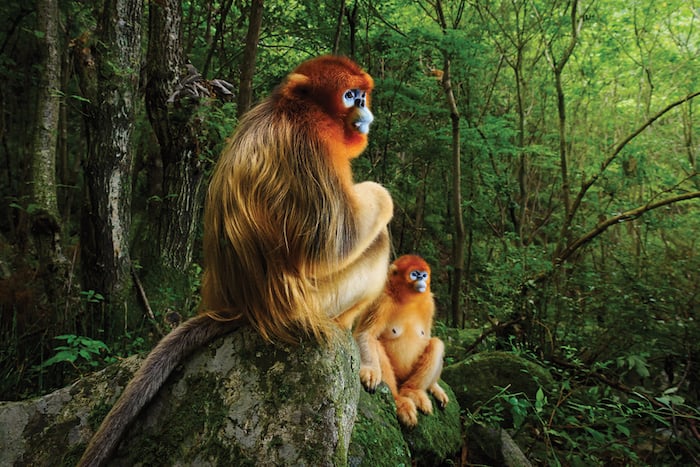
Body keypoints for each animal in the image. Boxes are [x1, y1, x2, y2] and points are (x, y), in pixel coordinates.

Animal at [78, 55, 393, 467]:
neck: (291, 110)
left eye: (362, 94)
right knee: (377, 240)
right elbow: (334, 242)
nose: (363, 108)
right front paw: (380, 194)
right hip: (315, 300)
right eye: (349, 96)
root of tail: (239, 308)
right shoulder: (310, 146)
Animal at [354, 255, 449, 427]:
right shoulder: (382, 300)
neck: (408, 300)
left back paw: (413, 391)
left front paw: (435, 387)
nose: (421, 279)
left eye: (424, 274)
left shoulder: (429, 303)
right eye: (414, 274)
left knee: (436, 344)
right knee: (376, 344)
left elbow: (427, 337)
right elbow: (366, 334)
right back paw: (399, 401)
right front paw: (370, 370)